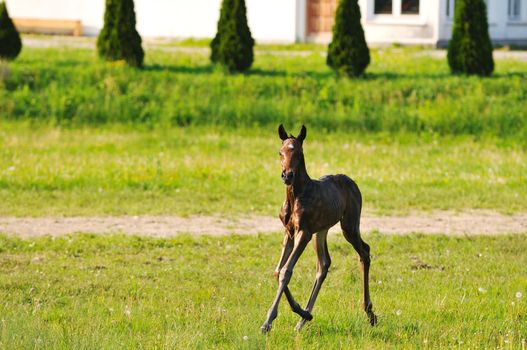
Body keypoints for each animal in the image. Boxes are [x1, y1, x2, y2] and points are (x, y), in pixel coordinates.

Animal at [260, 124, 378, 332]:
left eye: (299, 152)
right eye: (280, 152)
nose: (287, 175)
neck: (296, 195)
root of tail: (352, 183)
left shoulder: (304, 232)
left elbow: (286, 271)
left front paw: (267, 322)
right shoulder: (289, 232)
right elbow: (277, 270)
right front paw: (300, 311)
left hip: (349, 225)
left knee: (364, 251)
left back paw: (369, 312)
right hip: (321, 231)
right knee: (324, 264)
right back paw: (303, 319)